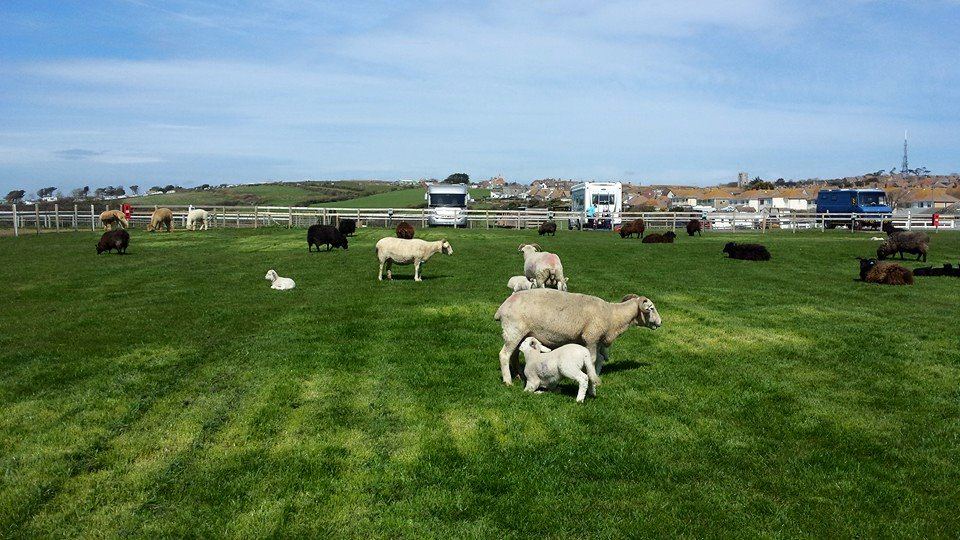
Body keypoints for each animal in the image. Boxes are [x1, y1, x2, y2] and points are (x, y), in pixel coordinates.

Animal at [494, 289, 661, 385]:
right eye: (651, 308)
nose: (660, 322)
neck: (613, 316)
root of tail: (502, 307)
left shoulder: (598, 340)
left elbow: (600, 359)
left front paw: (596, 374)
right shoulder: (591, 337)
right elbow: (592, 359)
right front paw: (591, 376)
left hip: (521, 333)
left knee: (514, 355)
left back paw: (519, 375)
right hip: (513, 331)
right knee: (504, 355)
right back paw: (508, 381)